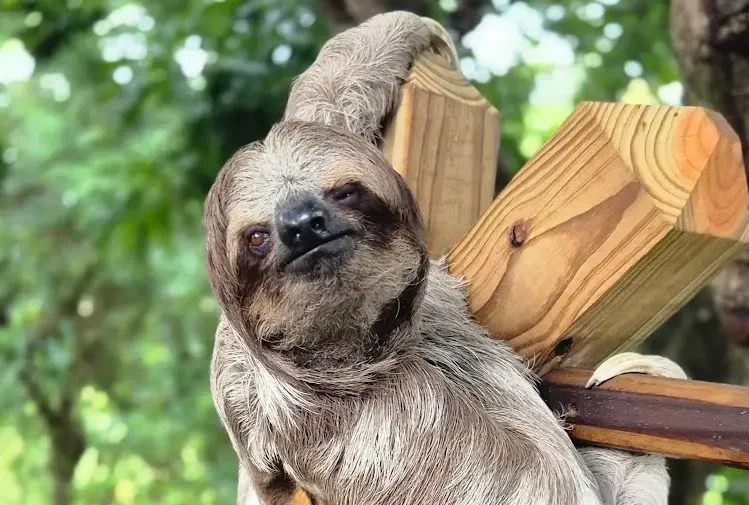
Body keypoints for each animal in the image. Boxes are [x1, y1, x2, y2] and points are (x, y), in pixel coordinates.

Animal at [203, 11, 688, 505]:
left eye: (344, 192)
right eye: (257, 237)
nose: (301, 225)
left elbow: (325, 100)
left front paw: (416, 27)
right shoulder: (391, 424)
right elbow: (549, 483)